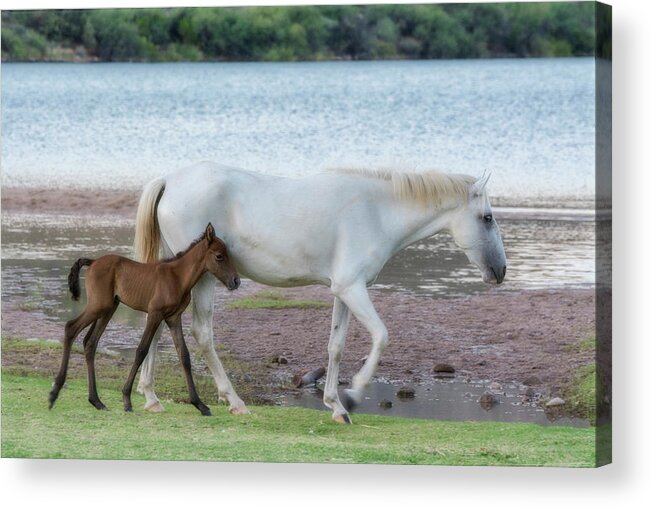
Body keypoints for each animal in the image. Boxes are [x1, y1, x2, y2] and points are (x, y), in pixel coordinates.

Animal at [48, 224, 241, 414]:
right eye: (219, 256)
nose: (236, 281)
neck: (177, 277)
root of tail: (93, 261)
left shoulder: (173, 318)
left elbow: (184, 355)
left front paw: (200, 404)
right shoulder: (154, 314)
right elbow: (141, 350)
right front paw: (127, 399)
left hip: (109, 308)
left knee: (90, 343)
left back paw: (96, 401)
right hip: (98, 306)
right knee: (71, 327)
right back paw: (54, 393)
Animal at [134, 163, 510, 424]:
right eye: (487, 218)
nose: (501, 271)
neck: (376, 211)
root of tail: (169, 180)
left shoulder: (343, 292)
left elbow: (336, 346)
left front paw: (336, 406)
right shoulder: (352, 288)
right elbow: (381, 336)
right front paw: (354, 395)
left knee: (156, 322)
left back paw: (151, 398)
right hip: (203, 280)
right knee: (202, 333)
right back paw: (235, 402)